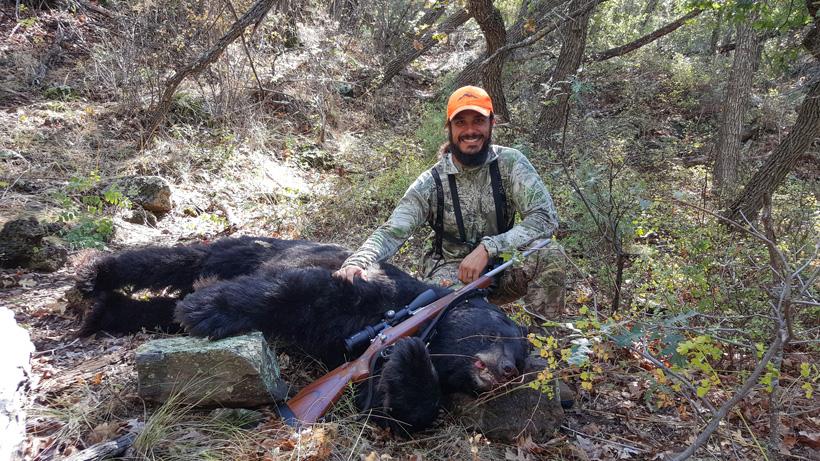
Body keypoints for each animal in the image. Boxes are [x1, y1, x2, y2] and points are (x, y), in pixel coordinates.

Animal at [74, 237, 529, 433]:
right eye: (499, 330)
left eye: (525, 358)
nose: (509, 369)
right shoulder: (355, 287)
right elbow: (290, 289)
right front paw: (206, 309)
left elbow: (388, 410)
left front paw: (412, 360)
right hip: (238, 250)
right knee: (174, 260)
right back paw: (94, 275)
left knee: (157, 307)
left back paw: (104, 312)